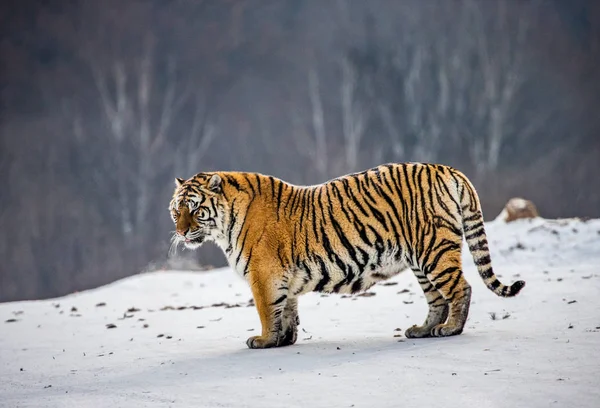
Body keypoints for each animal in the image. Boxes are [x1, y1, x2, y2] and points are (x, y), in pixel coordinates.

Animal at [169, 162, 524, 348]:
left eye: (196, 210)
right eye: (176, 210)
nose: (182, 232)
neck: (223, 225)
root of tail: (447, 169)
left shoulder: (263, 275)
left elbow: (268, 311)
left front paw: (264, 340)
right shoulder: (282, 277)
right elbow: (287, 310)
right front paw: (284, 339)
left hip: (434, 251)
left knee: (461, 289)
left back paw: (451, 329)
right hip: (421, 261)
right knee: (437, 299)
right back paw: (422, 330)